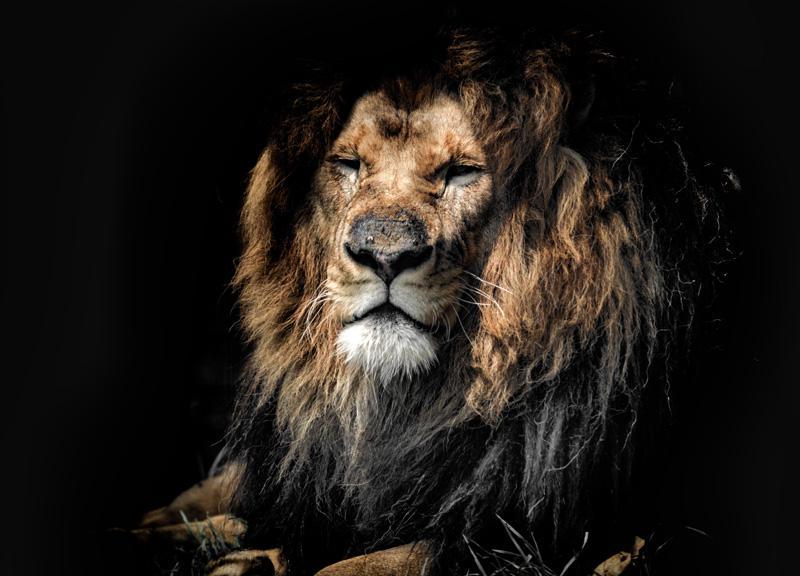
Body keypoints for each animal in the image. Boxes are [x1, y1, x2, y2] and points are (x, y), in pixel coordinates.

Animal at [136, 26, 729, 576]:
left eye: (461, 171)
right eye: (348, 164)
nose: (383, 256)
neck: (403, 405)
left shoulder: (506, 541)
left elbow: (346, 566)